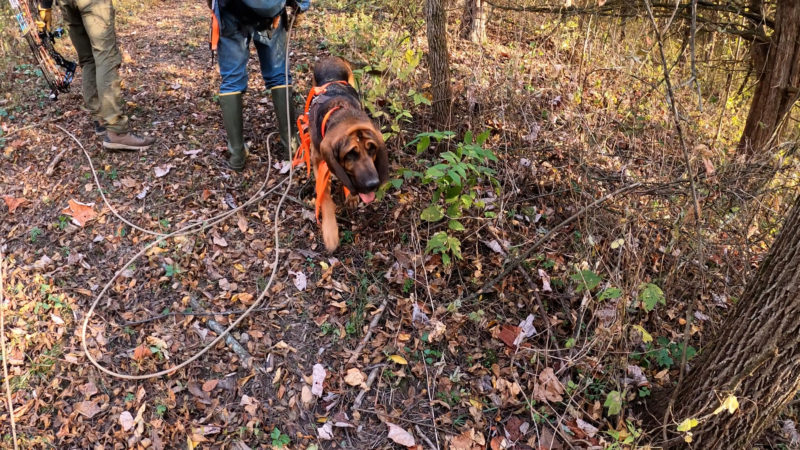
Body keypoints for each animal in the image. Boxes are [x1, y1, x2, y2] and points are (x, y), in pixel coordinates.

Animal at [304, 57, 388, 250]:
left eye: (372, 149)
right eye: (351, 154)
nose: (373, 184)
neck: (341, 111)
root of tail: (332, 58)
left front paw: (351, 197)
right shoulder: (317, 160)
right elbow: (325, 197)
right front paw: (330, 232)